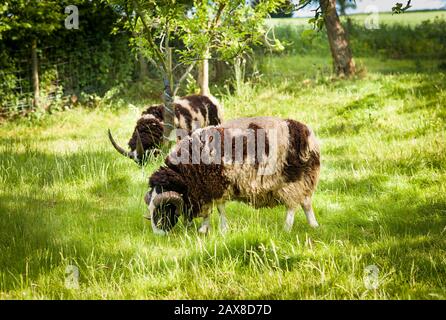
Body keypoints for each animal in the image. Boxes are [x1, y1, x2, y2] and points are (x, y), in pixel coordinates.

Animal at [145, 115, 322, 235]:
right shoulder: (204, 189)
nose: (158, 234)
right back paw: (314, 226)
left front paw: (221, 229)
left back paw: (286, 229)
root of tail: (307, 136)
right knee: (306, 204)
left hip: (291, 183)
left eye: (164, 208)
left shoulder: (215, 186)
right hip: (304, 180)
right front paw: (204, 229)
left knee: (292, 207)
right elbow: (209, 210)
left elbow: (219, 209)